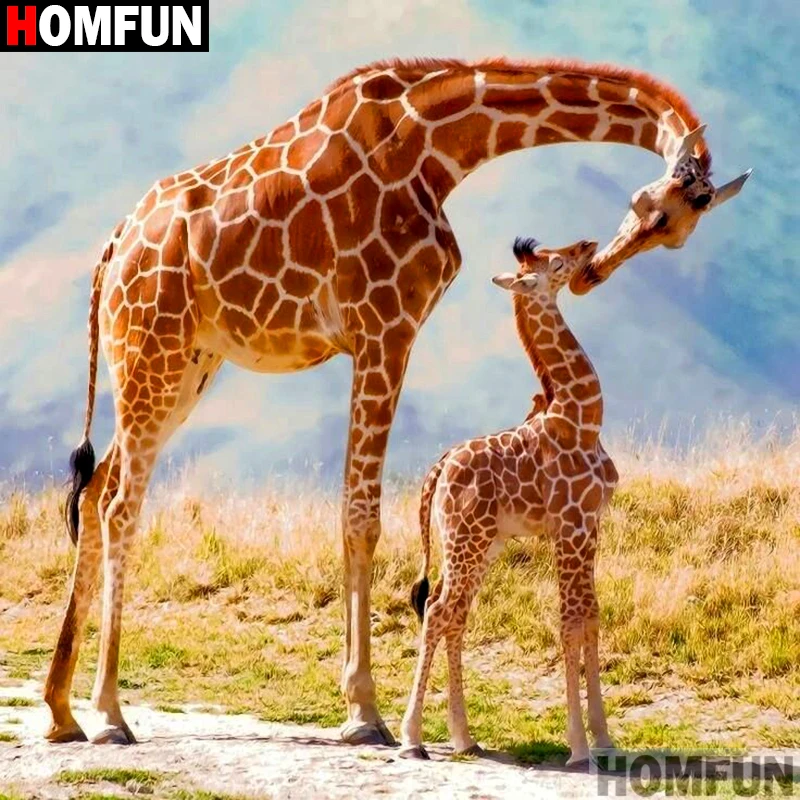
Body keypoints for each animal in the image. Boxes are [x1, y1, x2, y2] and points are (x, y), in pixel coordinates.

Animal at [400, 236, 618, 764]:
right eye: (556, 263)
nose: (588, 245)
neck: (582, 419)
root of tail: (437, 470)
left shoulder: (590, 526)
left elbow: (592, 616)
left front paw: (604, 738)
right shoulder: (569, 528)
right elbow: (570, 622)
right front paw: (579, 747)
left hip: (481, 544)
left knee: (453, 613)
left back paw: (464, 737)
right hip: (467, 540)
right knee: (439, 611)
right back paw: (412, 738)